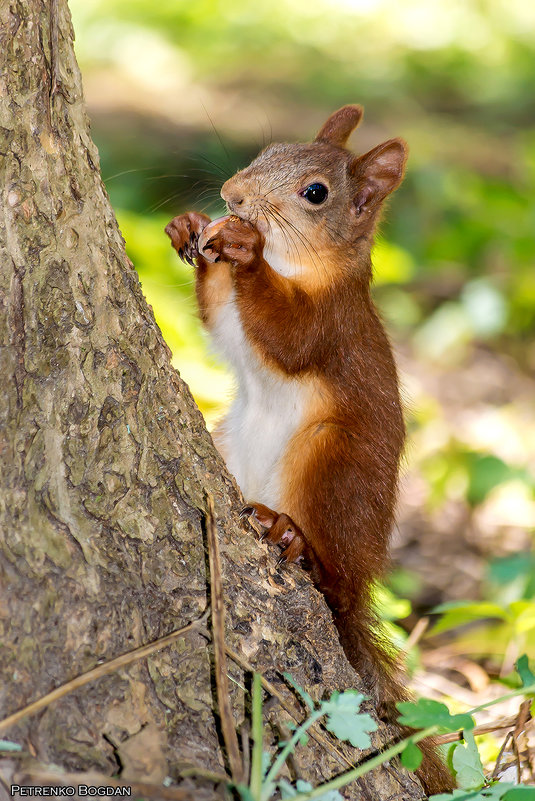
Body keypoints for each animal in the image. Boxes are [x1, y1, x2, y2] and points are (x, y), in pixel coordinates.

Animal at [165, 106, 454, 792]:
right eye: (269, 150)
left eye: (315, 194)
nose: (233, 196)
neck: (296, 264)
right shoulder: (230, 321)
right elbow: (219, 318)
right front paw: (191, 229)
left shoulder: (331, 323)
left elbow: (288, 335)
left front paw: (243, 252)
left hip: (333, 465)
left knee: (333, 578)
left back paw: (294, 539)